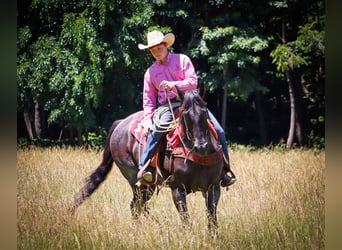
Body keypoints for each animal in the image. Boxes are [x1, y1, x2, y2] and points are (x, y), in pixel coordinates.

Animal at [72, 88, 227, 230]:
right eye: (185, 114)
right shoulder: (177, 188)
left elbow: (212, 219)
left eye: (205, 111)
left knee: (139, 206)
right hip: (138, 182)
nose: (201, 146)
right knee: (137, 206)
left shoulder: (214, 187)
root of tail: (119, 124)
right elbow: (186, 221)